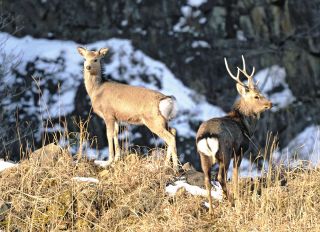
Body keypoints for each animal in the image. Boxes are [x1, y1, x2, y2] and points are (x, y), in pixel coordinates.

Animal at [195, 55, 272, 214]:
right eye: (256, 96)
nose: (270, 103)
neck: (245, 124)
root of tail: (206, 135)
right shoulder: (240, 150)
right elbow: (236, 175)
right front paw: (237, 197)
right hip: (224, 152)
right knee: (221, 177)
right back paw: (231, 202)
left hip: (203, 156)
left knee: (207, 179)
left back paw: (211, 210)